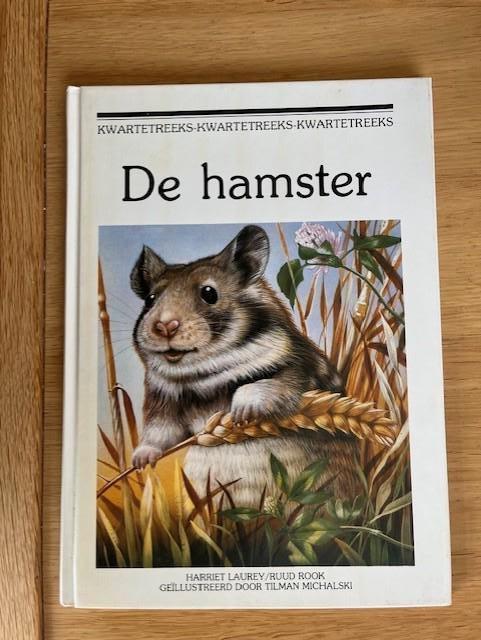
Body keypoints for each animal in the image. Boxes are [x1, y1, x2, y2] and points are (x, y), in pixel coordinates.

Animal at [130, 225, 361, 506]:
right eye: (150, 299)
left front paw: (240, 414)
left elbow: (265, 386)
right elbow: (159, 434)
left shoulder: (298, 373)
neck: (201, 375)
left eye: (209, 293)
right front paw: (140, 460)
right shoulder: (164, 403)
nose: (164, 326)